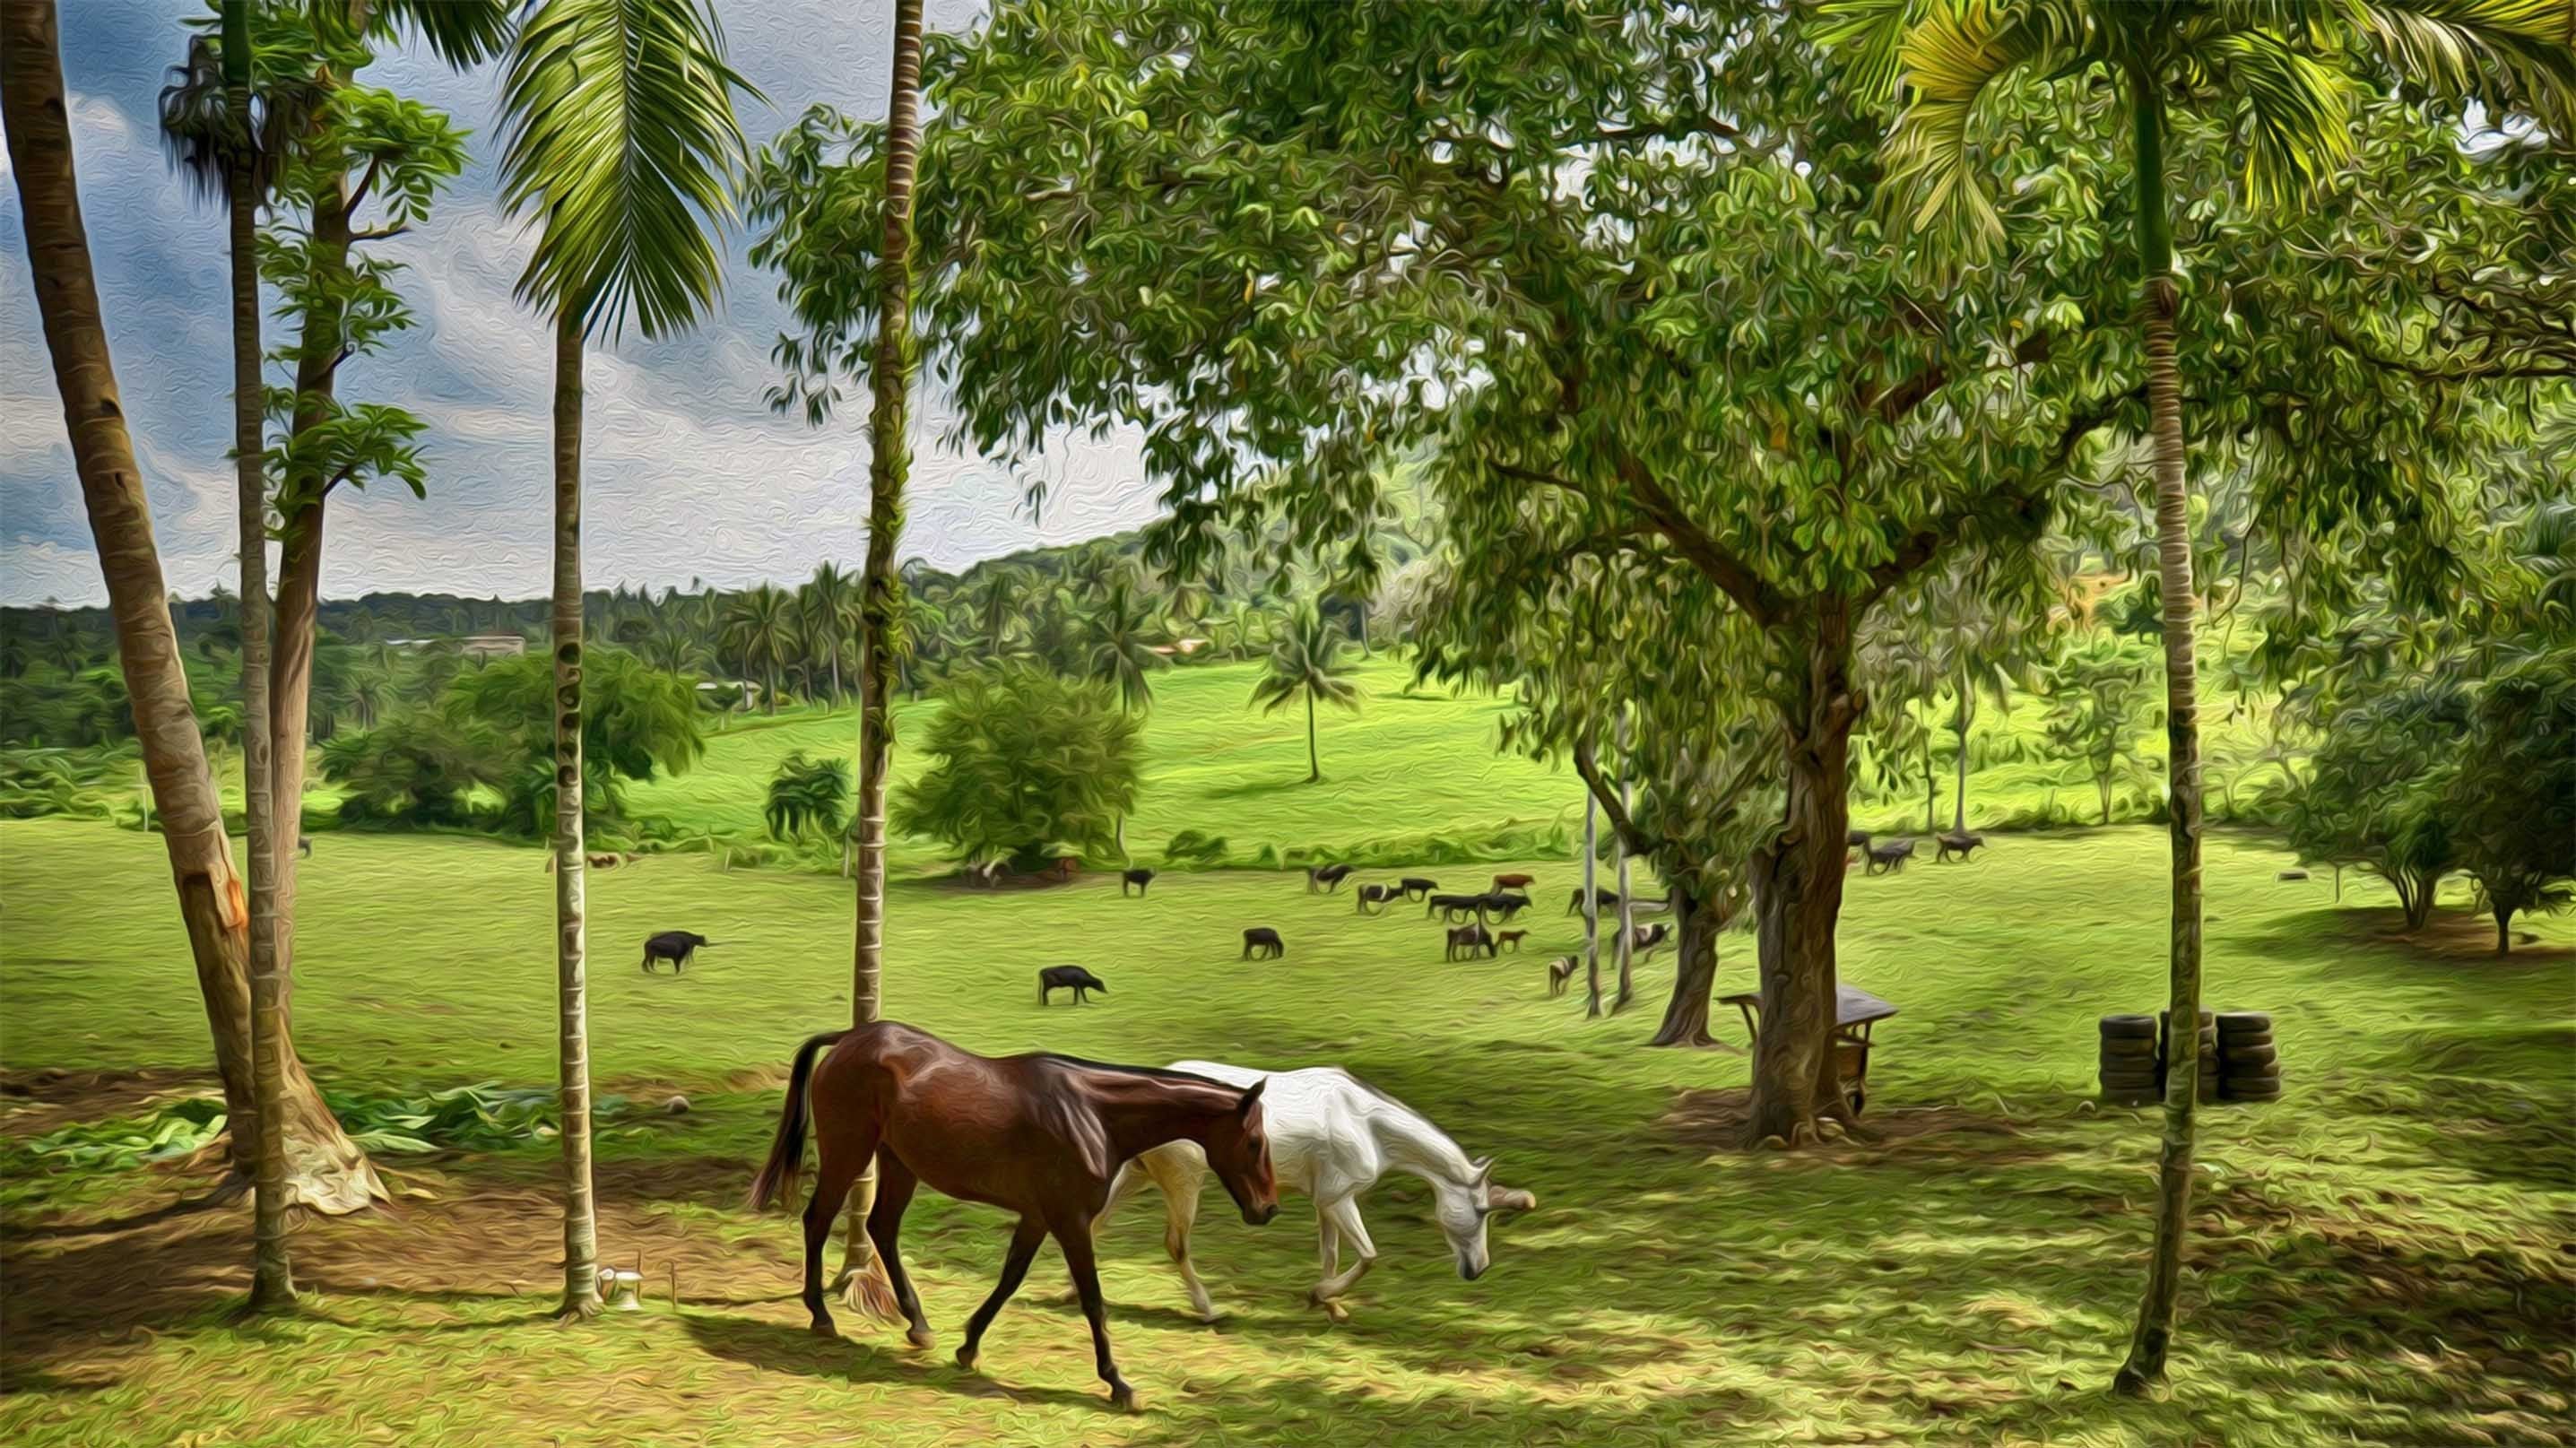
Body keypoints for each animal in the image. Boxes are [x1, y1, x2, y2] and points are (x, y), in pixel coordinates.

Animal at [747, 1023, 1278, 1411]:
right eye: (1255, 1141)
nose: (1267, 1209)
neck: (1093, 1114)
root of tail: (849, 1039)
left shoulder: (1038, 1218)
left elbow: (1009, 1280)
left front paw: (967, 1347)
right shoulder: (1070, 1222)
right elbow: (1093, 1301)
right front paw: (1119, 1385)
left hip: (898, 1162)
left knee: (882, 1227)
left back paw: (918, 1325)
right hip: (850, 1151)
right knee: (818, 1220)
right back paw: (821, 1316)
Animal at [1101, 1061, 1535, 1323]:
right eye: (1480, 1212)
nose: (1478, 1270)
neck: (1366, 1123)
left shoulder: (1325, 1201)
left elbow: (1331, 1254)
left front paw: (1330, 1305)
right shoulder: (1338, 1199)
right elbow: (1368, 1256)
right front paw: (1320, 1295)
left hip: (1134, 1176)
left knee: (1095, 1223)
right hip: (1184, 1183)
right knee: (1176, 1244)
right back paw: (1208, 1309)